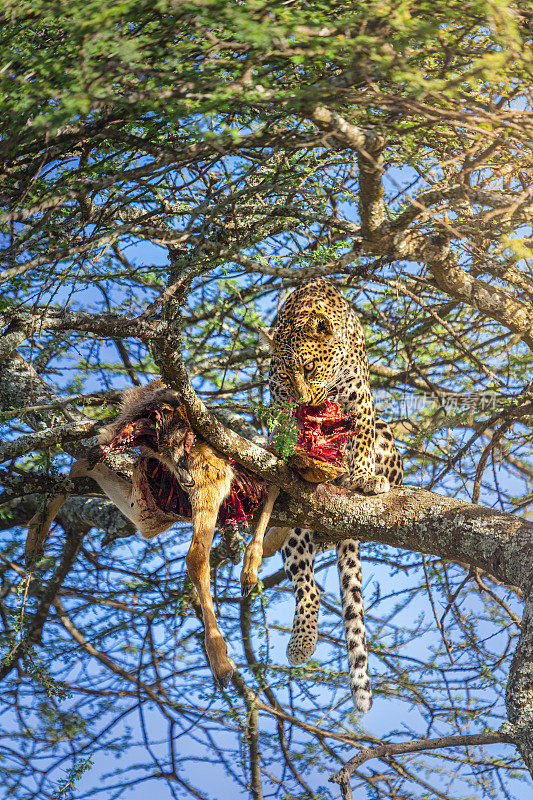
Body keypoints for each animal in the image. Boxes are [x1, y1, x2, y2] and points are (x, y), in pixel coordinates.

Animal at [260, 276, 402, 712]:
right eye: (284, 376)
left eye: (308, 367)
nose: (305, 399)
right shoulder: (279, 402)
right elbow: (285, 429)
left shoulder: (360, 397)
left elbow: (361, 439)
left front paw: (363, 475)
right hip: (295, 531)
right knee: (306, 589)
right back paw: (301, 643)